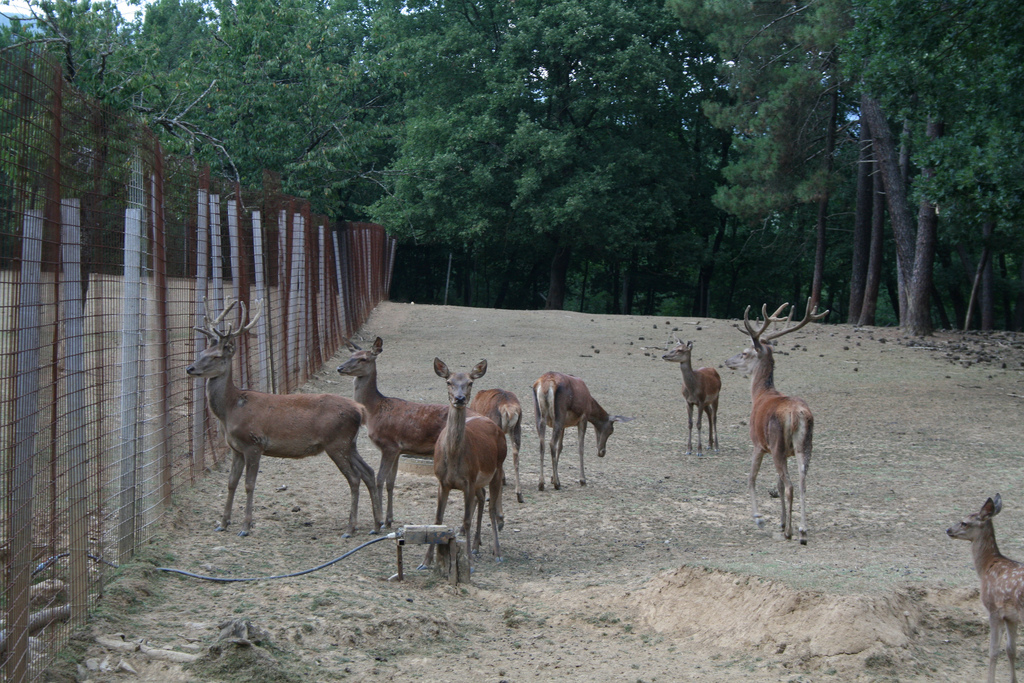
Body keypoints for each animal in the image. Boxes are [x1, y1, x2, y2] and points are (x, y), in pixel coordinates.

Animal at [186, 299, 382, 540]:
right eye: (203, 351)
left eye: (216, 356)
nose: (190, 368)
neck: (230, 410)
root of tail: (360, 410)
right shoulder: (235, 448)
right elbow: (231, 483)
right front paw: (223, 523)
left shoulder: (254, 443)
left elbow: (249, 485)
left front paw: (245, 527)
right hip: (349, 444)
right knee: (368, 472)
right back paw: (376, 524)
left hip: (337, 442)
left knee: (354, 478)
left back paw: (350, 528)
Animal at [335, 337, 448, 528]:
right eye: (351, 355)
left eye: (363, 359)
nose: (340, 368)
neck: (373, 411)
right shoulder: (398, 450)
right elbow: (390, 482)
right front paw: (389, 519)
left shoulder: (389, 445)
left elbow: (380, 479)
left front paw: (379, 521)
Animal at [419, 358, 507, 573]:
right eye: (448, 382)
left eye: (470, 383)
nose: (459, 399)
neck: (453, 459)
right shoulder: (442, 481)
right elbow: (437, 519)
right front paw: (425, 561)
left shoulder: (468, 480)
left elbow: (466, 520)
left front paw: (470, 564)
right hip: (479, 481)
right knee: (482, 497)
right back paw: (476, 546)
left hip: (498, 467)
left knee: (491, 507)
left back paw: (497, 552)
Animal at [724, 301, 827, 548]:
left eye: (745, 353)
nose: (727, 361)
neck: (760, 395)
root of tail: (798, 413)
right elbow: (777, 485)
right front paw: (780, 521)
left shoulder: (759, 444)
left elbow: (752, 478)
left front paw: (759, 518)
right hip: (804, 445)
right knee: (802, 482)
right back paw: (802, 530)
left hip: (777, 442)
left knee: (790, 485)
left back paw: (791, 532)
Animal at [942, 493, 1024, 683]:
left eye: (964, 522)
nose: (948, 530)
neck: (987, 567)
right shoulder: (1011, 617)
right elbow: (1011, 649)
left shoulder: (993, 609)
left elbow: (993, 651)